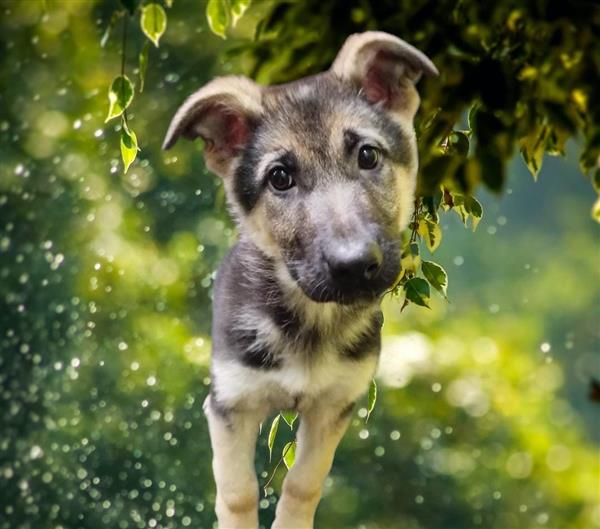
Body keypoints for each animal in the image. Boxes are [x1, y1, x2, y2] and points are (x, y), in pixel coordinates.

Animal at [163, 32, 436, 528]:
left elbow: (304, 484)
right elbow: (237, 493)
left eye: (367, 155)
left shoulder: (333, 405)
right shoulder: (231, 404)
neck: (310, 317)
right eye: (280, 178)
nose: (354, 266)